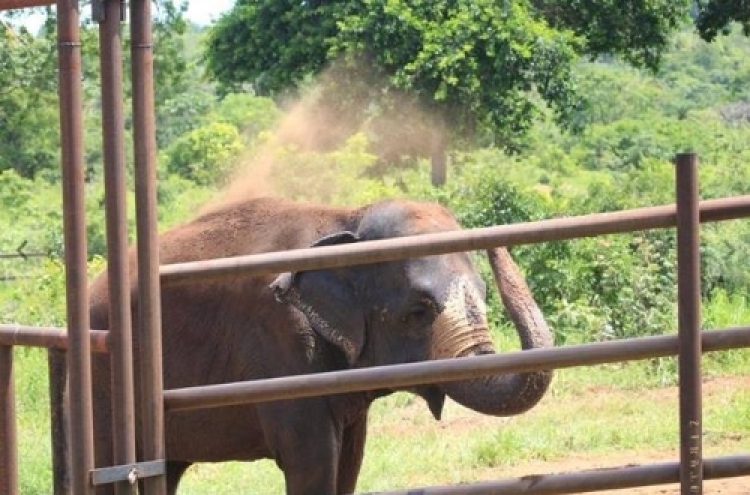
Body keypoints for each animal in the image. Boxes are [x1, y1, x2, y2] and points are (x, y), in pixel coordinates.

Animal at [51, 197, 552, 495]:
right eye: (418, 311)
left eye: (484, 294)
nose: (498, 245)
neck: (345, 217)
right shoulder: (280, 343)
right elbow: (312, 458)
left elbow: (348, 461)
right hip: (99, 381)